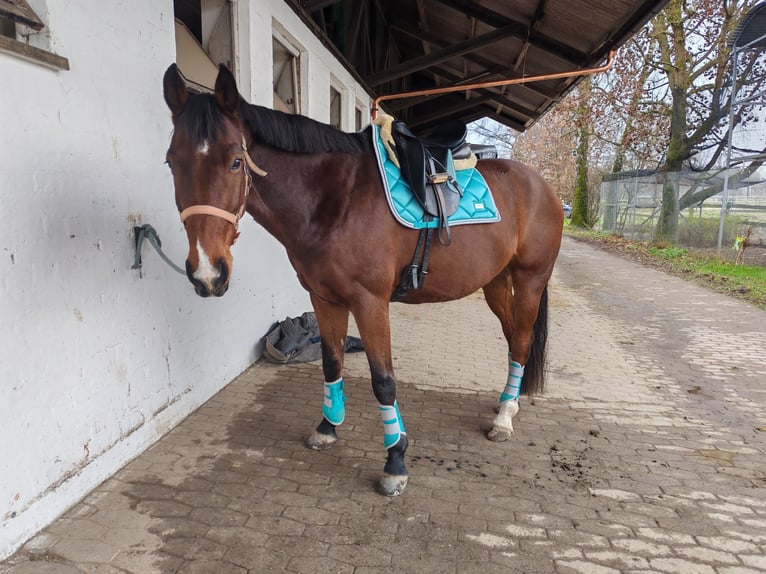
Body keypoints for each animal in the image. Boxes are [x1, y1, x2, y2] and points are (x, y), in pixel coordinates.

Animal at [162, 64, 563, 496]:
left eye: (236, 161)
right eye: (171, 162)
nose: (207, 271)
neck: (334, 200)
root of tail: (542, 185)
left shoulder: (371, 303)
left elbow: (383, 380)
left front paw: (395, 461)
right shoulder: (324, 298)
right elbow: (332, 362)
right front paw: (327, 427)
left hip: (530, 281)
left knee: (521, 340)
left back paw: (504, 417)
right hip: (495, 282)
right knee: (513, 337)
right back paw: (510, 400)